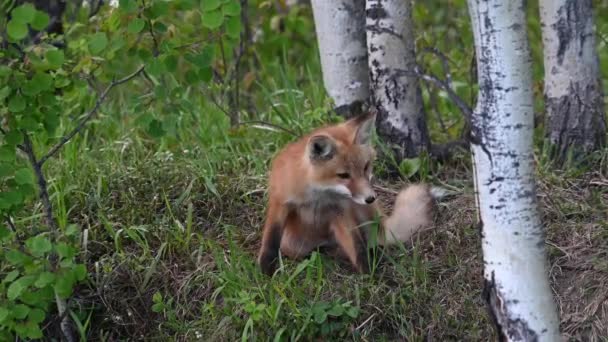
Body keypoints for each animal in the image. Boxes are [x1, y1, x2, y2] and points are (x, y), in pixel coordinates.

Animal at [256, 111, 436, 276]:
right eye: (343, 175)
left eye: (365, 167)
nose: (370, 198)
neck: (317, 194)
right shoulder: (280, 201)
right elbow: (271, 238)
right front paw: (266, 268)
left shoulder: (340, 211)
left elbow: (357, 247)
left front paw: (369, 273)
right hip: (293, 241)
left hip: (363, 214)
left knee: (373, 239)